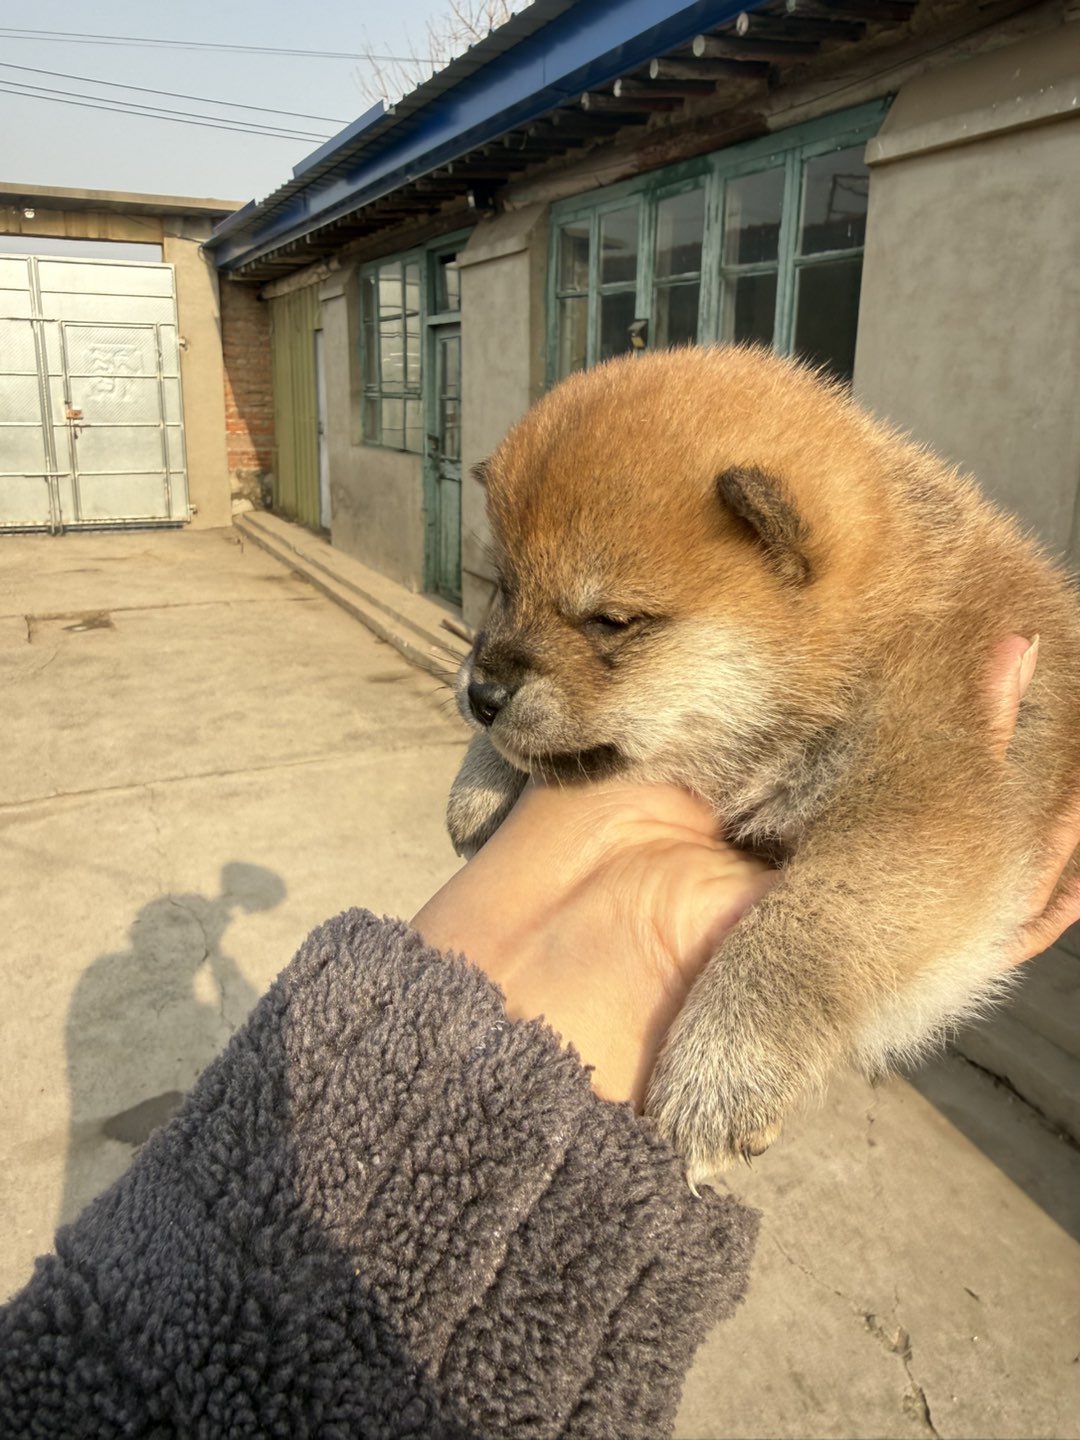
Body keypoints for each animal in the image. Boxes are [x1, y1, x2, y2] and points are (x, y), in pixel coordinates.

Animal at [446, 345, 1080, 1183]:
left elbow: (808, 924)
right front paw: (480, 781)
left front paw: (725, 1064)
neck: (867, 647)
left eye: (610, 621)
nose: (482, 693)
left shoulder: (929, 811)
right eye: (506, 589)